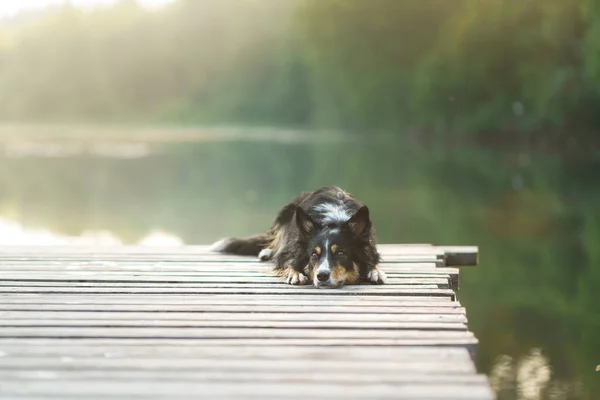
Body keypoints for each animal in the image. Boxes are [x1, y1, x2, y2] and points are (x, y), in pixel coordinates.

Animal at [209, 186, 386, 286]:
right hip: (285, 214)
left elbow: (373, 262)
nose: (321, 276)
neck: (333, 220)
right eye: (314, 254)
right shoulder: (292, 249)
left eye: (341, 253)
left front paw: (376, 272)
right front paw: (295, 273)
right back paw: (267, 252)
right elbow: (289, 261)